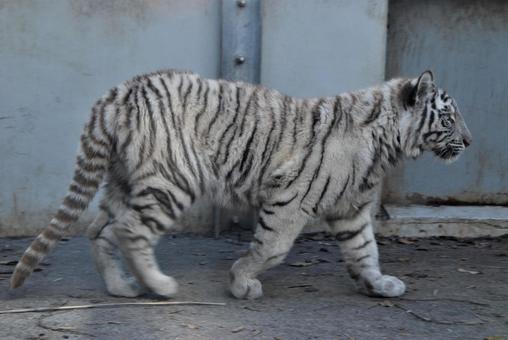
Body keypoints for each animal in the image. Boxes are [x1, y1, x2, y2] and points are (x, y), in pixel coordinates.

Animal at [9, 68, 470, 298]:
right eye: (449, 118)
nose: (468, 141)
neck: (387, 146)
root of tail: (120, 92)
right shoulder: (291, 199)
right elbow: (272, 248)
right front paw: (242, 282)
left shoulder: (351, 209)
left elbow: (366, 251)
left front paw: (379, 285)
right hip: (171, 181)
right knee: (130, 230)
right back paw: (159, 286)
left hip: (124, 181)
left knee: (100, 229)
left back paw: (122, 287)